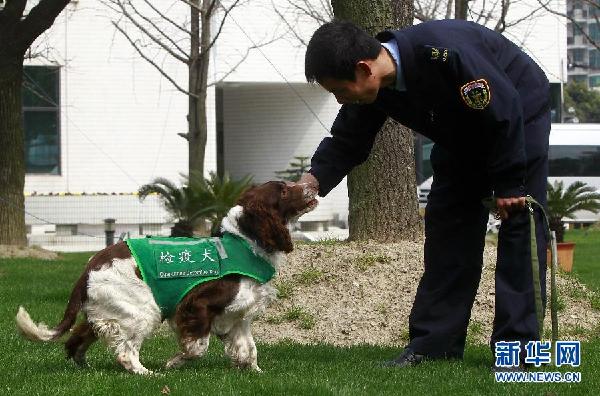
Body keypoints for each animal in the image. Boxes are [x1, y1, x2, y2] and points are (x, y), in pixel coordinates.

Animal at [15, 182, 318, 374]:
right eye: (284, 189)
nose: (312, 186)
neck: (246, 241)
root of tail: (90, 267)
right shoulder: (197, 305)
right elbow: (198, 347)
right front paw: (173, 363)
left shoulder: (239, 316)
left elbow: (249, 349)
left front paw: (255, 372)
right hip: (141, 309)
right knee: (125, 352)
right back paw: (147, 374)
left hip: (104, 312)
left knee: (76, 341)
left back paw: (85, 367)